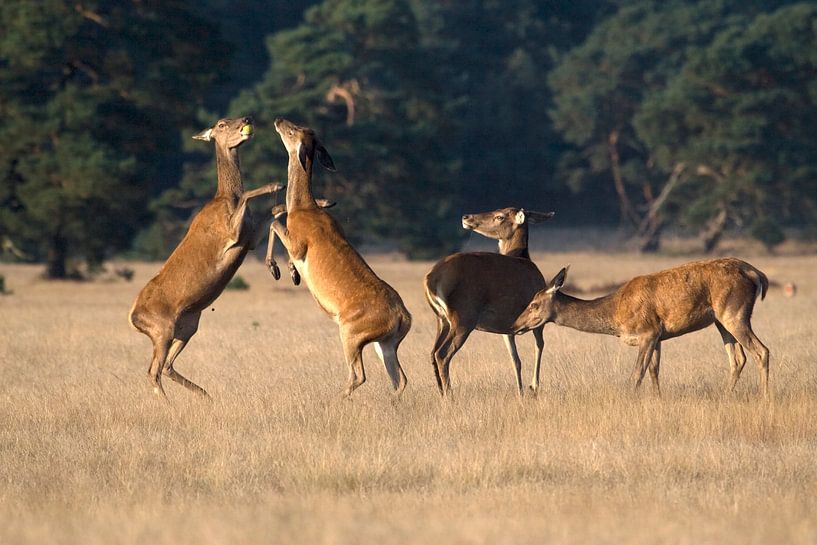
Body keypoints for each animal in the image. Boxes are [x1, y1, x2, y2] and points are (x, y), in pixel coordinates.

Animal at [126, 117, 280, 398]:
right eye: (221, 124)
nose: (246, 120)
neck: (225, 199)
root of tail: (133, 319)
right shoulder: (230, 235)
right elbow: (251, 198)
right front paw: (276, 184)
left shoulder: (249, 239)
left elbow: (275, 213)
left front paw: (274, 267)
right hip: (161, 328)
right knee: (153, 371)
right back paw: (173, 404)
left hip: (188, 326)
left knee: (167, 367)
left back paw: (205, 395)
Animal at [266, 118, 412, 396]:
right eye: (302, 127)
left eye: (292, 131)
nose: (278, 120)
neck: (303, 207)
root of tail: (403, 318)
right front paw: (291, 273)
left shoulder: (298, 243)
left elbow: (275, 221)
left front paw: (276, 268)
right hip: (386, 342)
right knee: (400, 379)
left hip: (351, 332)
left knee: (359, 375)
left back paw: (335, 400)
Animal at [420, 207, 556, 396]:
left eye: (500, 216)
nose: (466, 217)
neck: (525, 258)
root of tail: (431, 279)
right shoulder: (538, 316)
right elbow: (539, 346)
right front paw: (533, 387)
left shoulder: (508, 326)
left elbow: (516, 359)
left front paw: (521, 392)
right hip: (463, 317)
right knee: (442, 354)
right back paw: (450, 396)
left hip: (441, 319)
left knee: (432, 352)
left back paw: (441, 393)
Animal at [512, 258, 768, 398]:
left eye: (534, 304)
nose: (515, 324)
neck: (615, 317)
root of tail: (757, 274)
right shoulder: (659, 336)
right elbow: (654, 371)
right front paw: (657, 399)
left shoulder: (648, 331)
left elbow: (637, 373)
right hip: (721, 320)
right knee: (738, 358)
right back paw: (726, 395)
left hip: (734, 312)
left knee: (761, 351)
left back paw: (763, 398)